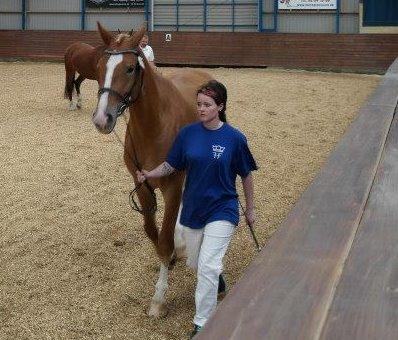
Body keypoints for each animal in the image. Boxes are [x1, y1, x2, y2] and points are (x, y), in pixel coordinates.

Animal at [91, 23, 213, 316]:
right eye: (99, 66)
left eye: (129, 68)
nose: (102, 119)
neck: (155, 125)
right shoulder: (142, 185)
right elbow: (152, 231)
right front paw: (171, 258)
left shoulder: (172, 185)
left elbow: (166, 238)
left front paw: (159, 298)